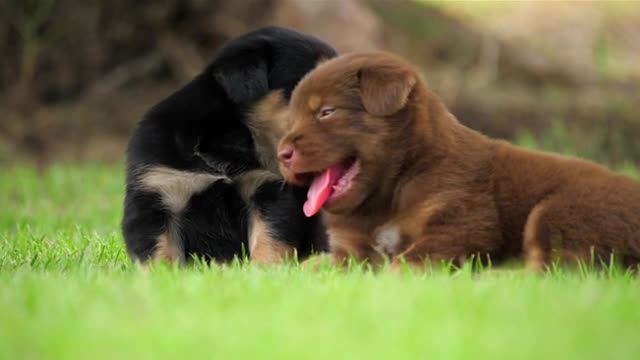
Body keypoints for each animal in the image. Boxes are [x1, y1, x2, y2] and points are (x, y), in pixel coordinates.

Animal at [122, 26, 338, 264]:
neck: (224, 139)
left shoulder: (265, 191)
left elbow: (269, 238)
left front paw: (266, 268)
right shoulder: (156, 192)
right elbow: (159, 251)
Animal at [278, 51, 640, 270]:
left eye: (327, 112)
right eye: (290, 120)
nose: (282, 154)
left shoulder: (459, 225)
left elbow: (407, 261)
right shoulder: (351, 249)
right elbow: (313, 265)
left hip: (562, 210)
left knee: (558, 267)